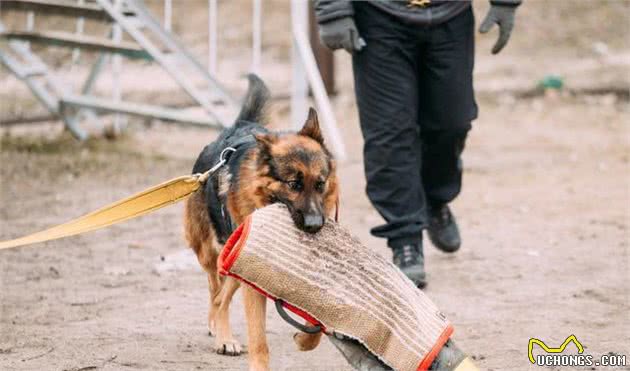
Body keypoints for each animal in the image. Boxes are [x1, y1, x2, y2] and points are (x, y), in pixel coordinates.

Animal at [184, 74, 340, 370]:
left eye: (320, 183)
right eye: (293, 184)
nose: (315, 225)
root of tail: (239, 127)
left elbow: (318, 322)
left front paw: (305, 340)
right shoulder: (251, 281)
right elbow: (258, 338)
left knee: (220, 295)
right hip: (216, 254)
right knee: (217, 294)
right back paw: (223, 336)